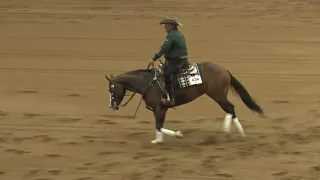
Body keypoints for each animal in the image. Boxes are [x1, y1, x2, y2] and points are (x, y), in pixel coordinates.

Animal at [104, 61, 264, 144]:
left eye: (111, 89)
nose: (112, 106)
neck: (147, 82)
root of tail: (224, 70)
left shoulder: (161, 107)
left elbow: (159, 125)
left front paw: (177, 135)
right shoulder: (157, 109)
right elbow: (158, 125)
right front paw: (158, 140)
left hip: (217, 95)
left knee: (230, 108)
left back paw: (232, 131)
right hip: (218, 95)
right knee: (229, 109)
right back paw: (235, 132)